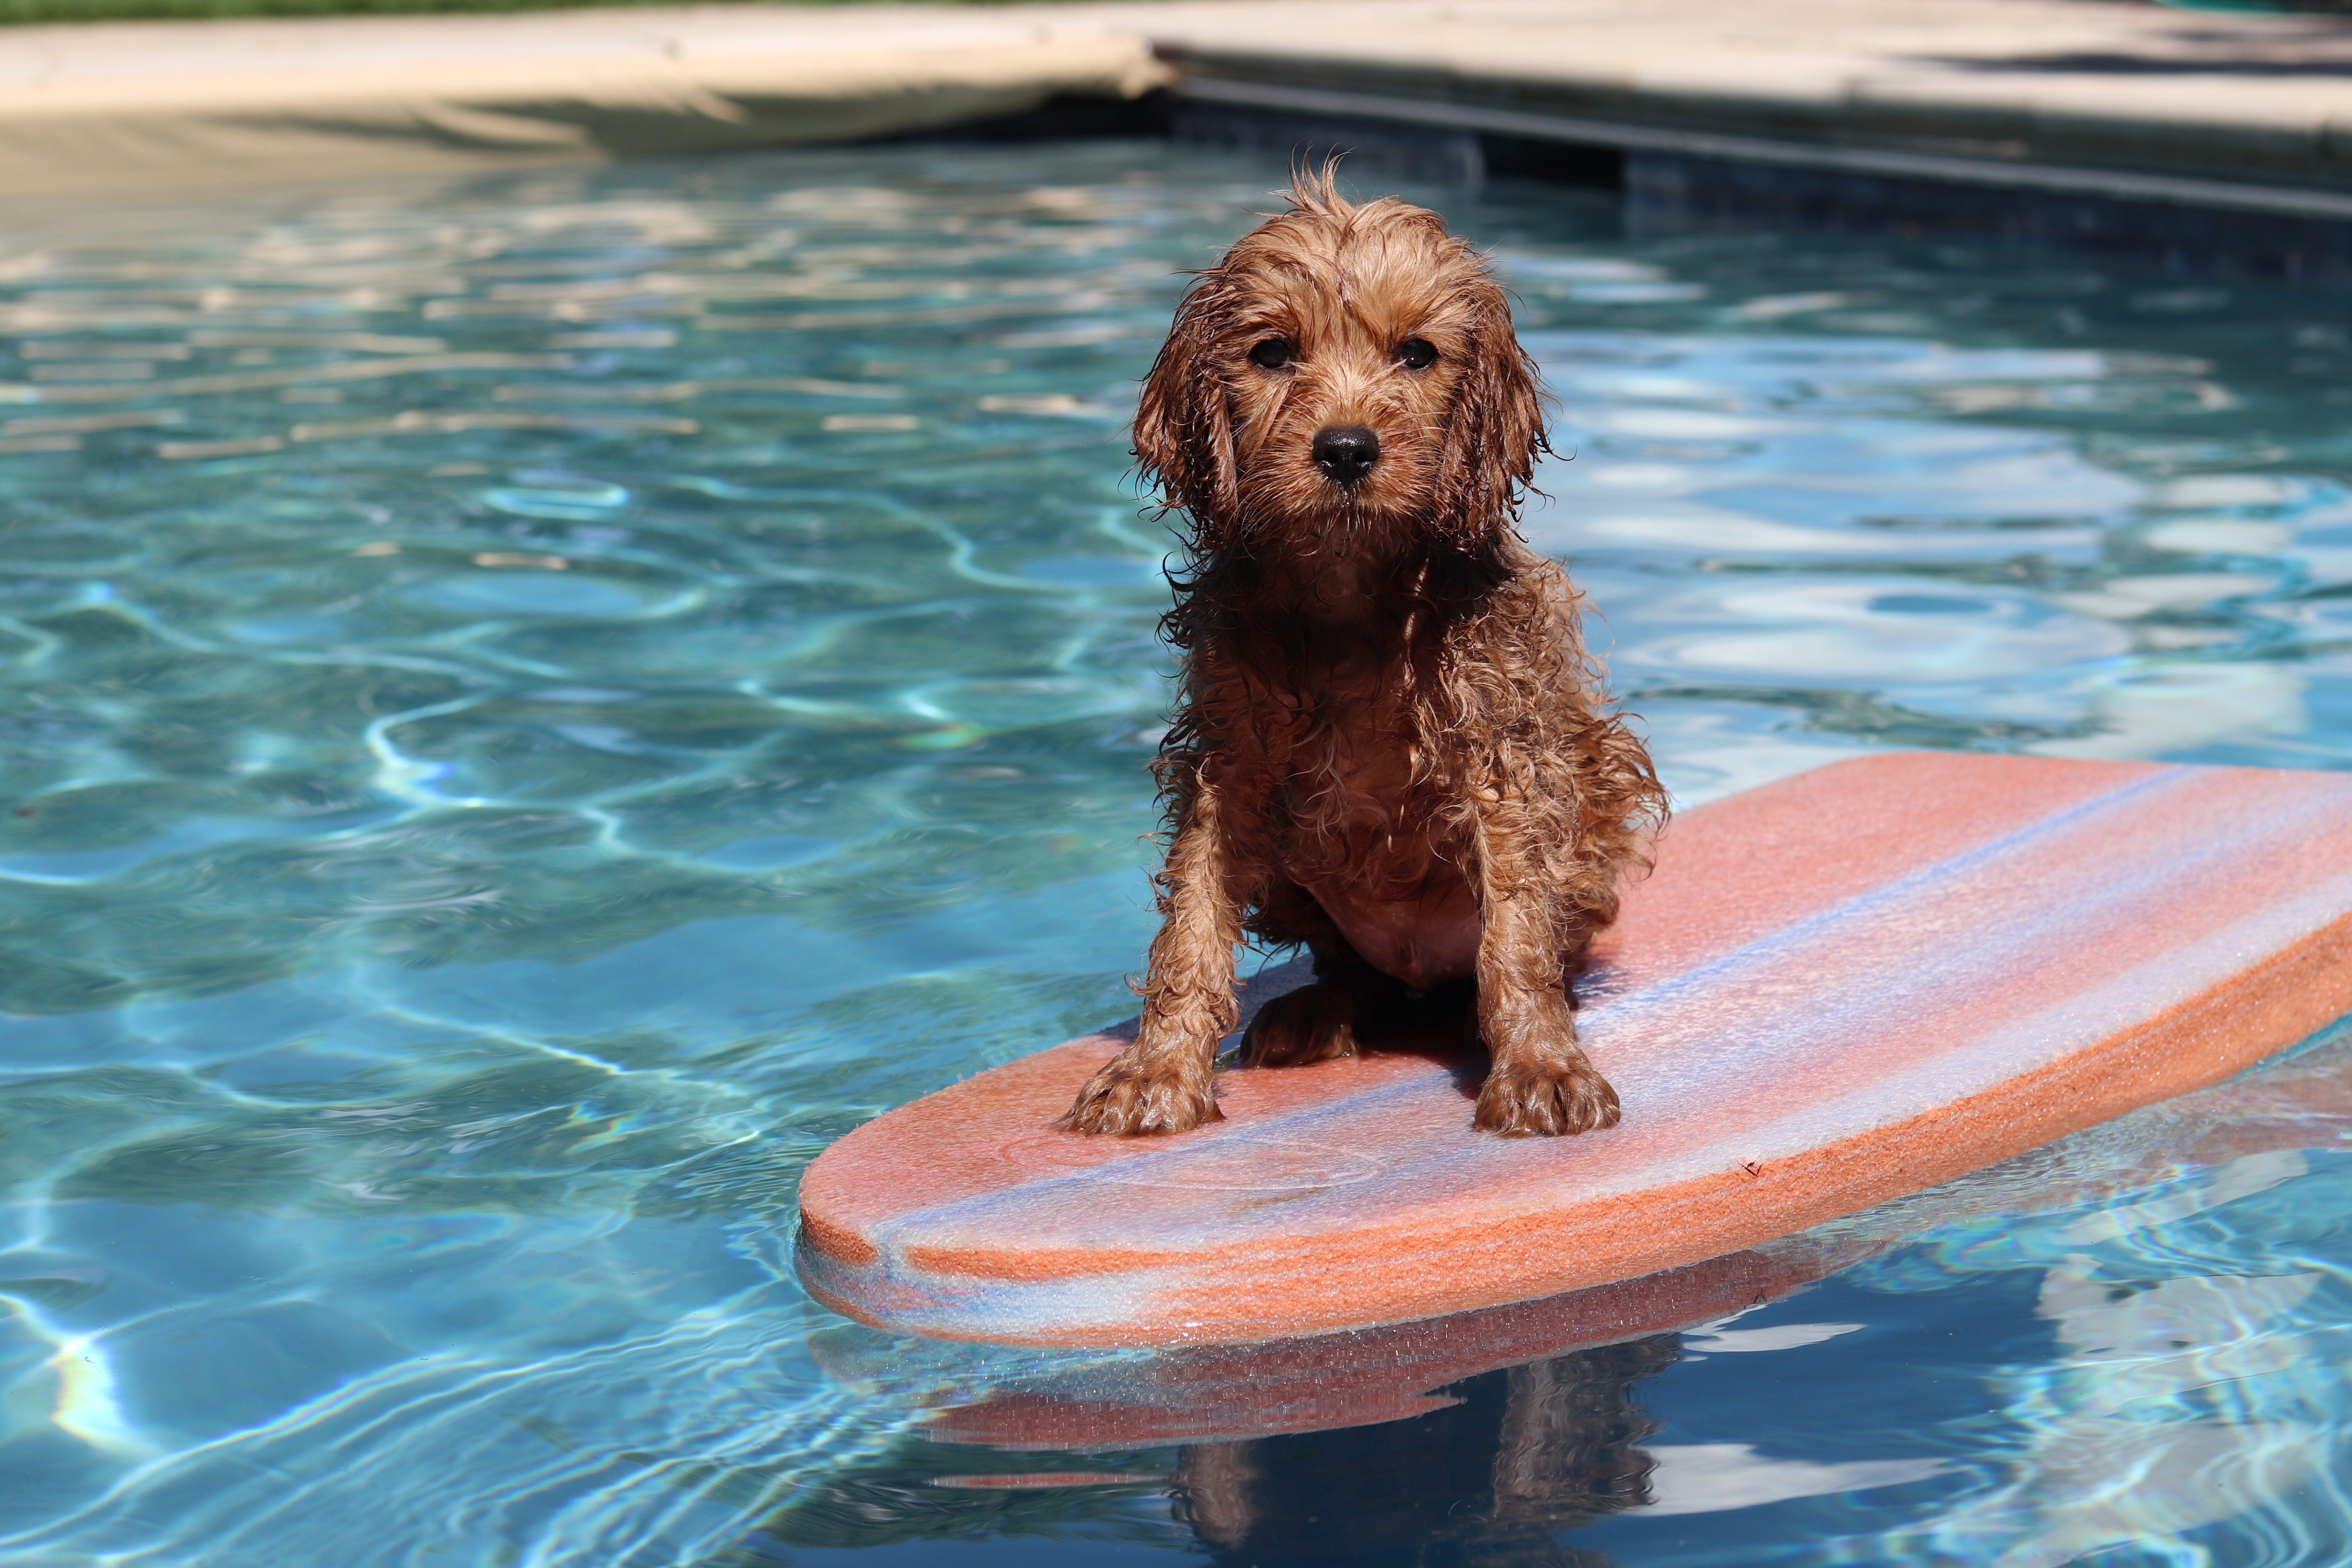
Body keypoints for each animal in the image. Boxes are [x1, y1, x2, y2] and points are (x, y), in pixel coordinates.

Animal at [1058, 169, 1665, 1142]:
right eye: (1273, 353)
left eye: (1416, 354)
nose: (1346, 449)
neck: (1347, 590)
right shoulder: (1227, 763)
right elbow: (1191, 924)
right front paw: (1158, 1070)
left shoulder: (1502, 755)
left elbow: (1516, 932)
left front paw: (1542, 1062)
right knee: (1353, 972)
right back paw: (1319, 1009)